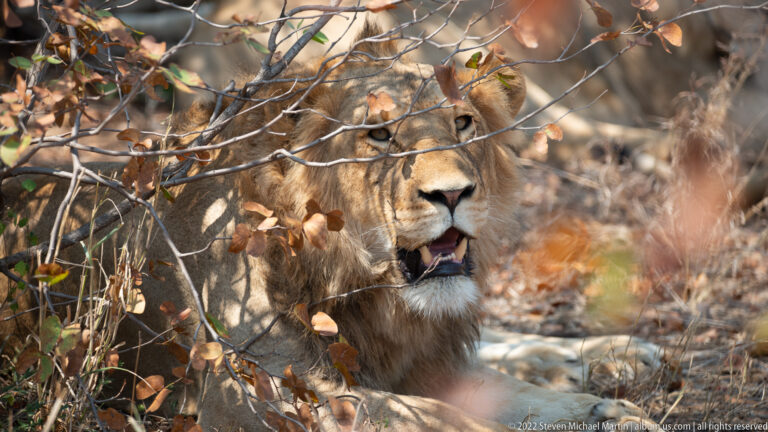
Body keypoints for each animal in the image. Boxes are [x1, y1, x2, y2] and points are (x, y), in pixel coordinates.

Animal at [1, 23, 660, 431]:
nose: (452, 193)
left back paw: (619, 356)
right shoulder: (247, 393)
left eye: (464, 122)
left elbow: (505, 392)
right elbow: (431, 414)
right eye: (379, 134)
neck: (363, 290)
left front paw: (609, 412)